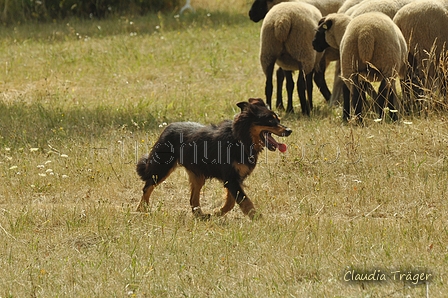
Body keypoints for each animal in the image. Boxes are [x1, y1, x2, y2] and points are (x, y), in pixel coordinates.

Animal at [135, 98, 292, 219]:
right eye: (270, 120)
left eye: (278, 119)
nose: (289, 130)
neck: (240, 139)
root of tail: (167, 127)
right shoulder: (231, 178)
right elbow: (244, 201)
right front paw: (258, 219)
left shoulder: (235, 179)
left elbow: (231, 202)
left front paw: (216, 213)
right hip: (162, 168)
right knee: (147, 187)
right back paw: (141, 210)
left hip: (197, 175)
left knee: (193, 199)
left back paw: (201, 216)